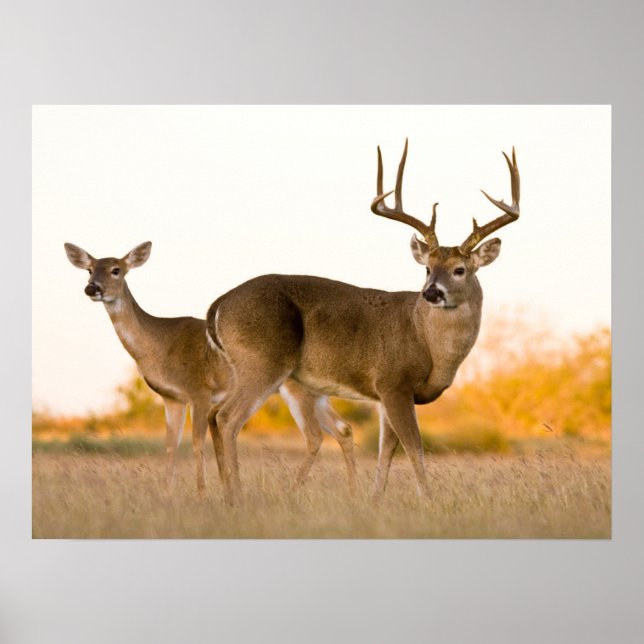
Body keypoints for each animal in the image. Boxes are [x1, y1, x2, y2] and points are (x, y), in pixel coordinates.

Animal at [64, 242, 358, 496]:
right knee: (342, 428)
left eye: (116, 269)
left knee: (315, 436)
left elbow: (196, 442)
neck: (157, 344)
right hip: (316, 392)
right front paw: (167, 493)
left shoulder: (199, 391)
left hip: (294, 389)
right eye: (90, 269)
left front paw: (202, 494)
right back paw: (351, 493)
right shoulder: (171, 398)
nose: (93, 288)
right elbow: (171, 445)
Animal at [205, 140, 520, 504]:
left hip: (248, 369)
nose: (431, 292)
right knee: (228, 418)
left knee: (214, 415)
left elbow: (388, 450)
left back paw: (224, 493)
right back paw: (237, 496)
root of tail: (217, 306)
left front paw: (374, 500)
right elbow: (414, 447)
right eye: (427, 268)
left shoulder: (385, 395)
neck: (427, 342)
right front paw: (427, 501)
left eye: (460, 269)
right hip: (263, 362)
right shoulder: (393, 381)